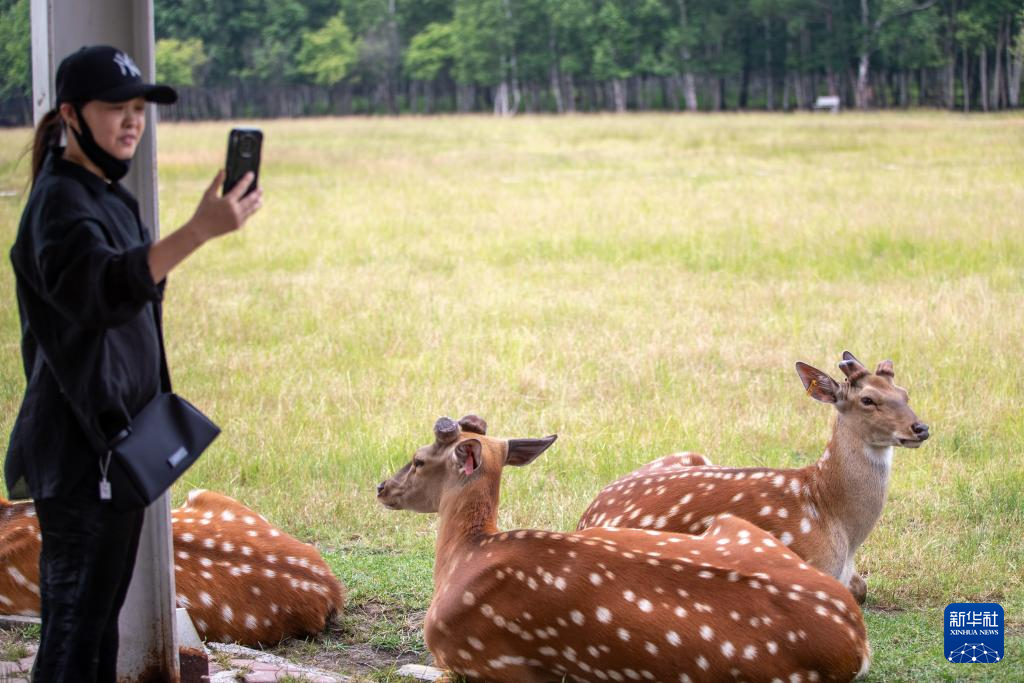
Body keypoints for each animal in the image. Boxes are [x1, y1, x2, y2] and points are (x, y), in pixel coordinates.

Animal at [372, 413, 868, 683]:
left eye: (418, 459)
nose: (381, 487)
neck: (466, 555)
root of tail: (857, 644)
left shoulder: (488, 660)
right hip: (734, 526)